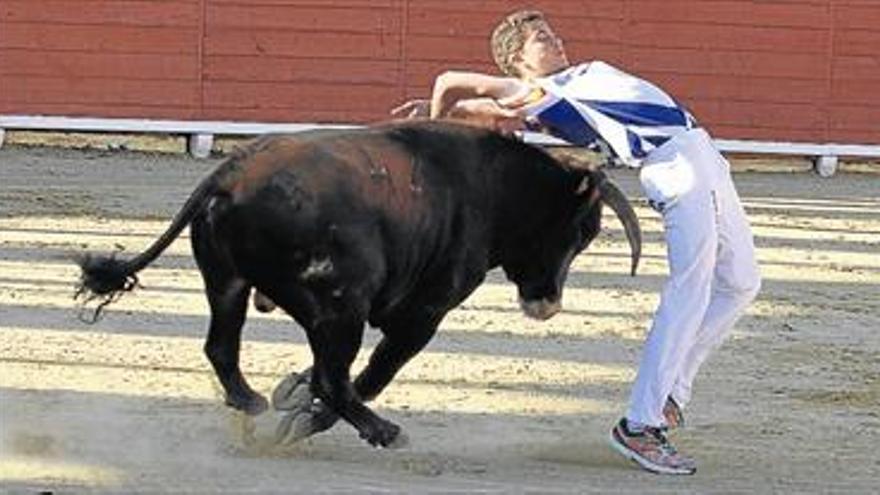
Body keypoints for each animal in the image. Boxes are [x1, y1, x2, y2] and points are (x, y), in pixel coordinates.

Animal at [75, 121, 640, 450]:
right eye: (581, 232)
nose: (549, 304)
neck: (495, 187)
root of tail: (231, 173)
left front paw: (291, 394)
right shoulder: (423, 314)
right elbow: (375, 372)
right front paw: (306, 415)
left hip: (228, 284)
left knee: (222, 347)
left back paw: (255, 401)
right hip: (339, 306)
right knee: (335, 377)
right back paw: (382, 431)